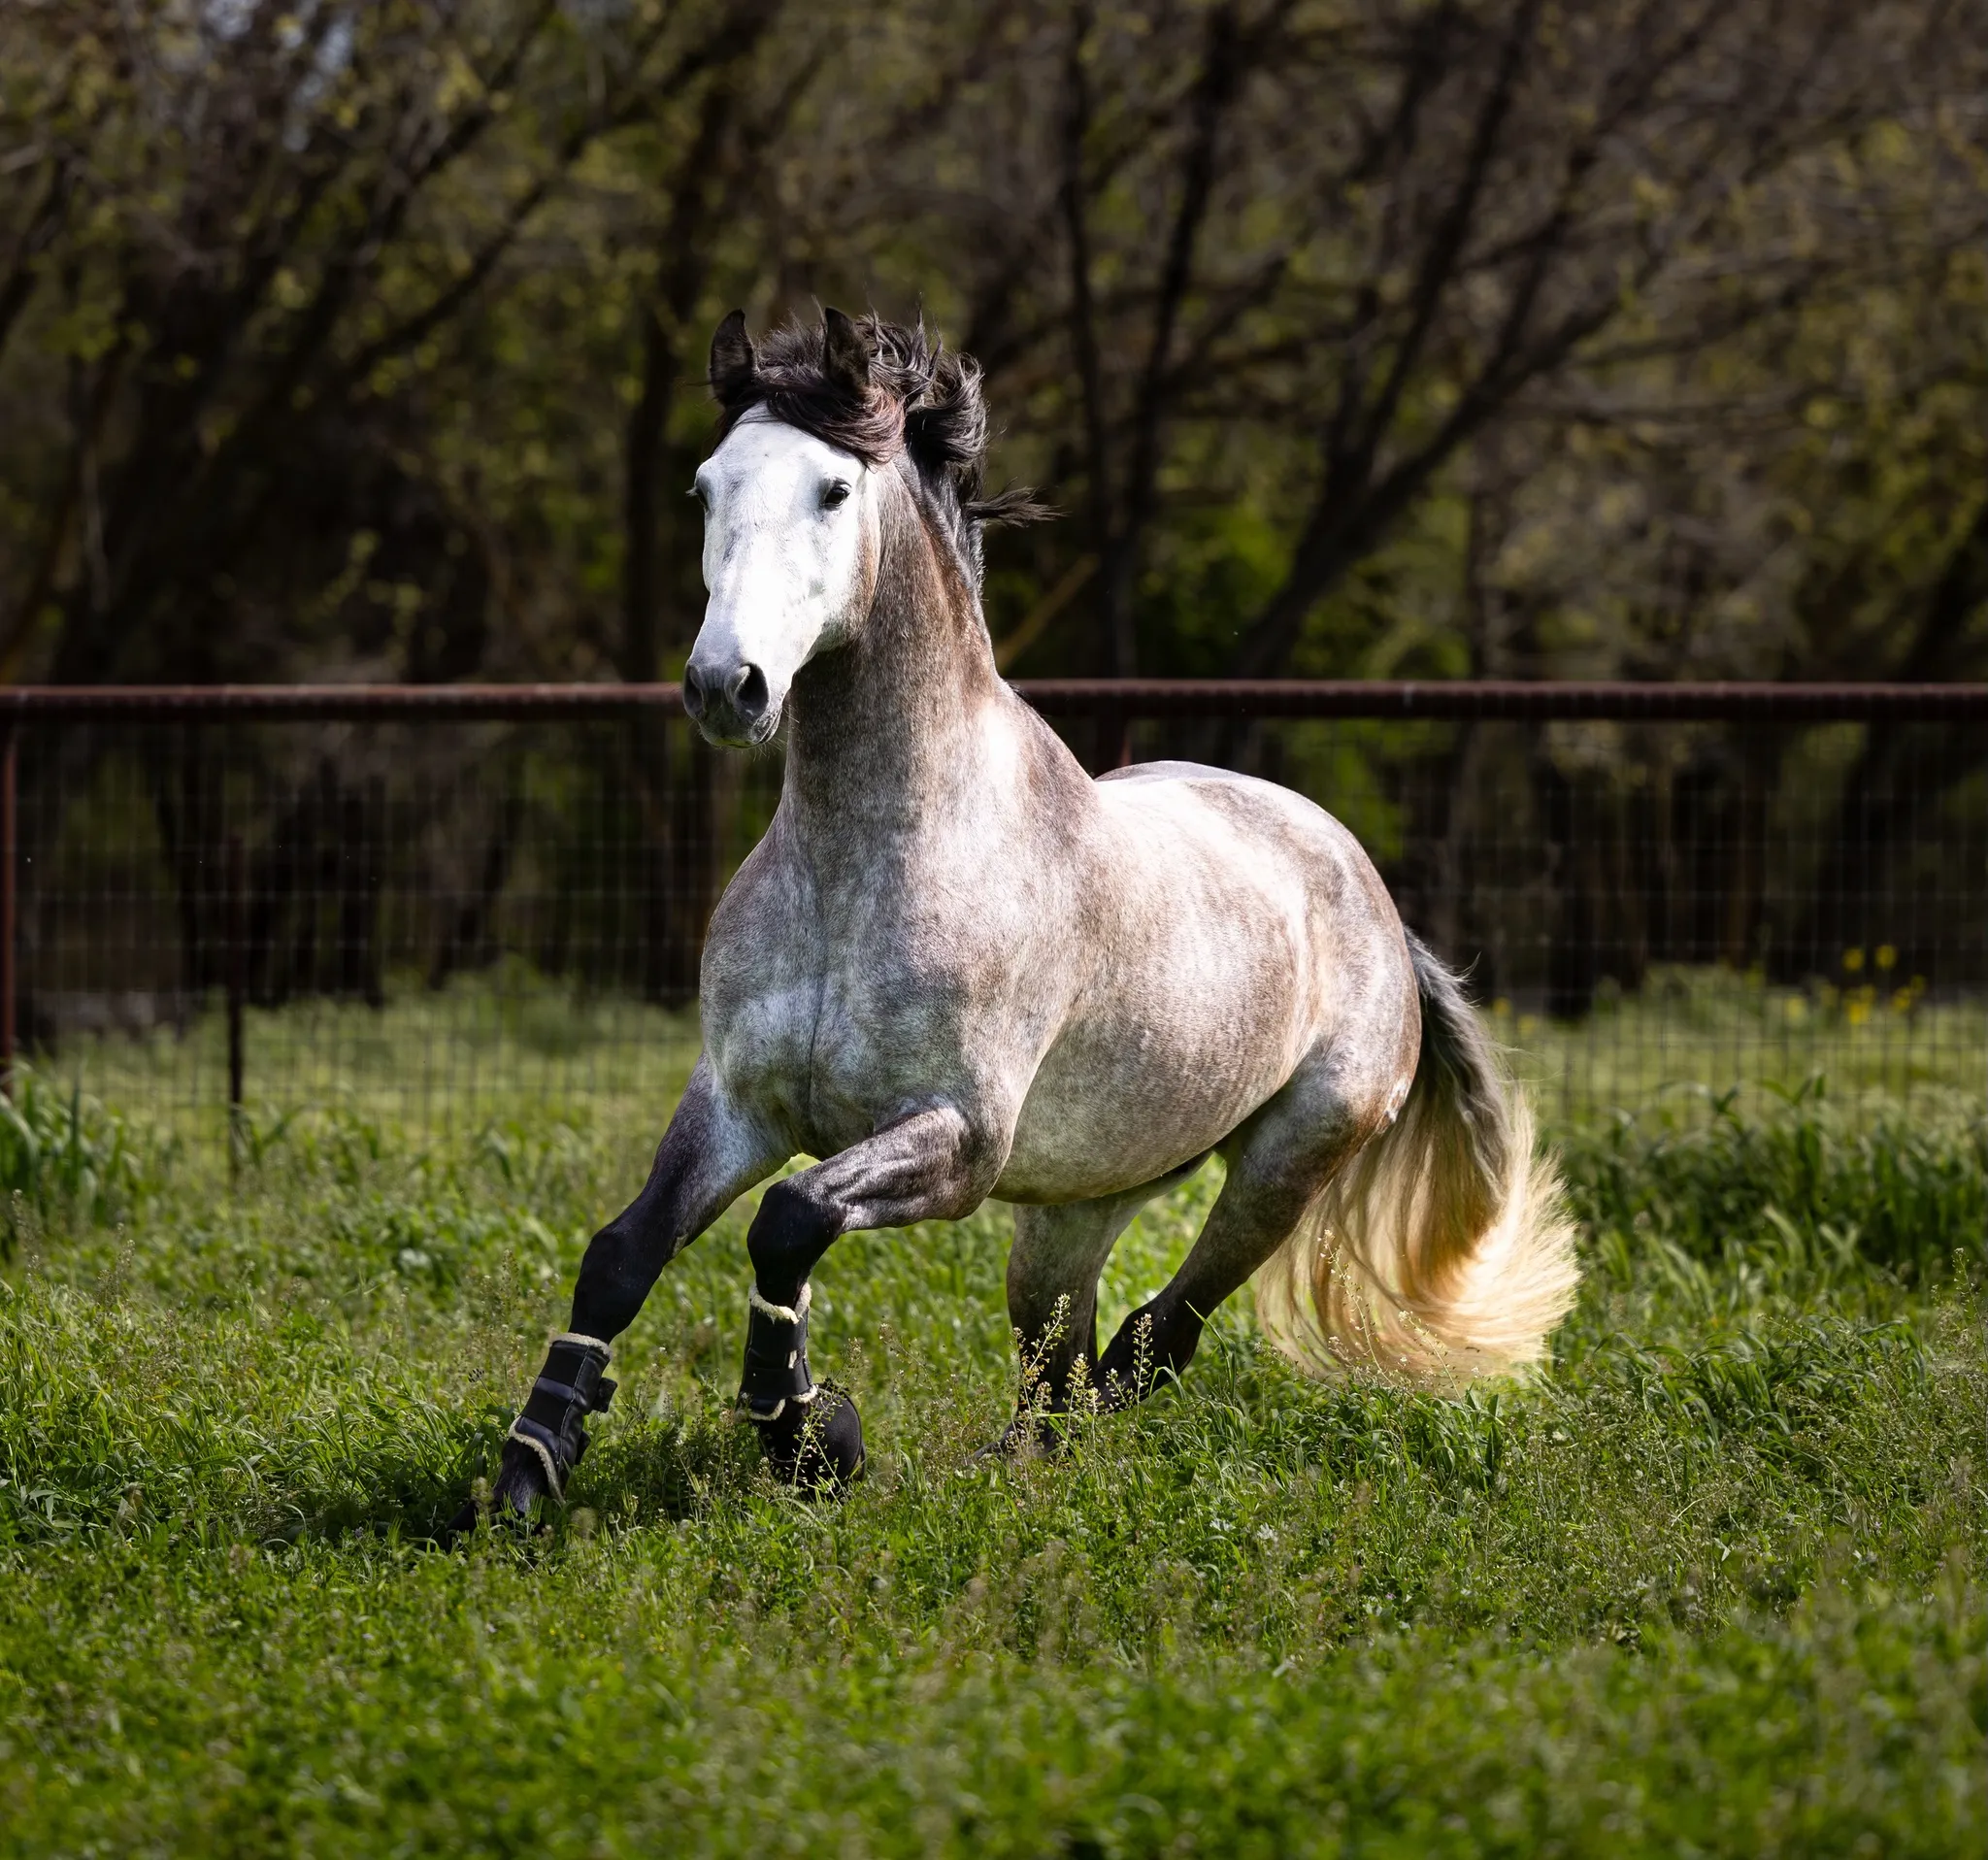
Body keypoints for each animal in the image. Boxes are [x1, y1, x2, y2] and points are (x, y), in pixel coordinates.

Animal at [486, 308, 1578, 1516]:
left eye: (831, 489)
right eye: (702, 487)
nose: (727, 687)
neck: (865, 866)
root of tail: (1374, 903)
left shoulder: (957, 1138)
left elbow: (790, 1221)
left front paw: (808, 1432)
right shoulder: (736, 1102)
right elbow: (623, 1253)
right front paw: (531, 1466)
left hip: (1285, 1162)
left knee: (1155, 1337)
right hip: (1070, 1210)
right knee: (1059, 1363)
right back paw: (1021, 1473)